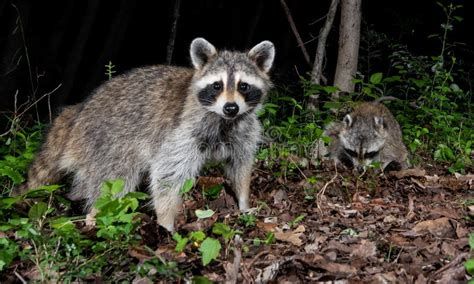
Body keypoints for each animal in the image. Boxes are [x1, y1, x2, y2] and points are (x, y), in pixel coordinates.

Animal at [21, 37, 274, 232]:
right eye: (217, 85)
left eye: (243, 86)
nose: (231, 107)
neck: (224, 120)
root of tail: (79, 111)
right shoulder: (180, 131)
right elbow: (167, 175)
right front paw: (166, 222)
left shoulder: (243, 130)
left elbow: (240, 165)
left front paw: (243, 201)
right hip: (107, 142)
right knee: (113, 181)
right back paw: (95, 212)